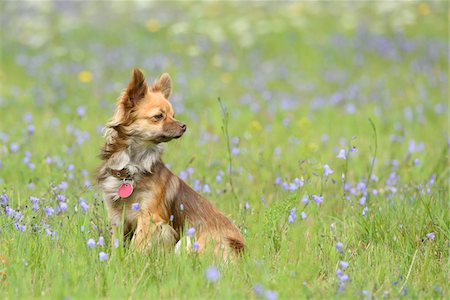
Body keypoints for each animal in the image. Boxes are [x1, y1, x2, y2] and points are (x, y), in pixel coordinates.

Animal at [96, 68, 246, 258]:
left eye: (173, 115)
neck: (132, 166)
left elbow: (137, 247)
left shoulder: (150, 218)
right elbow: (117, 247)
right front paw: (113, 261)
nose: (184, 126)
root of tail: (241, 250)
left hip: (188, 240)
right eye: (159, 116)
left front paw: (130, 262)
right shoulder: (117, 218)